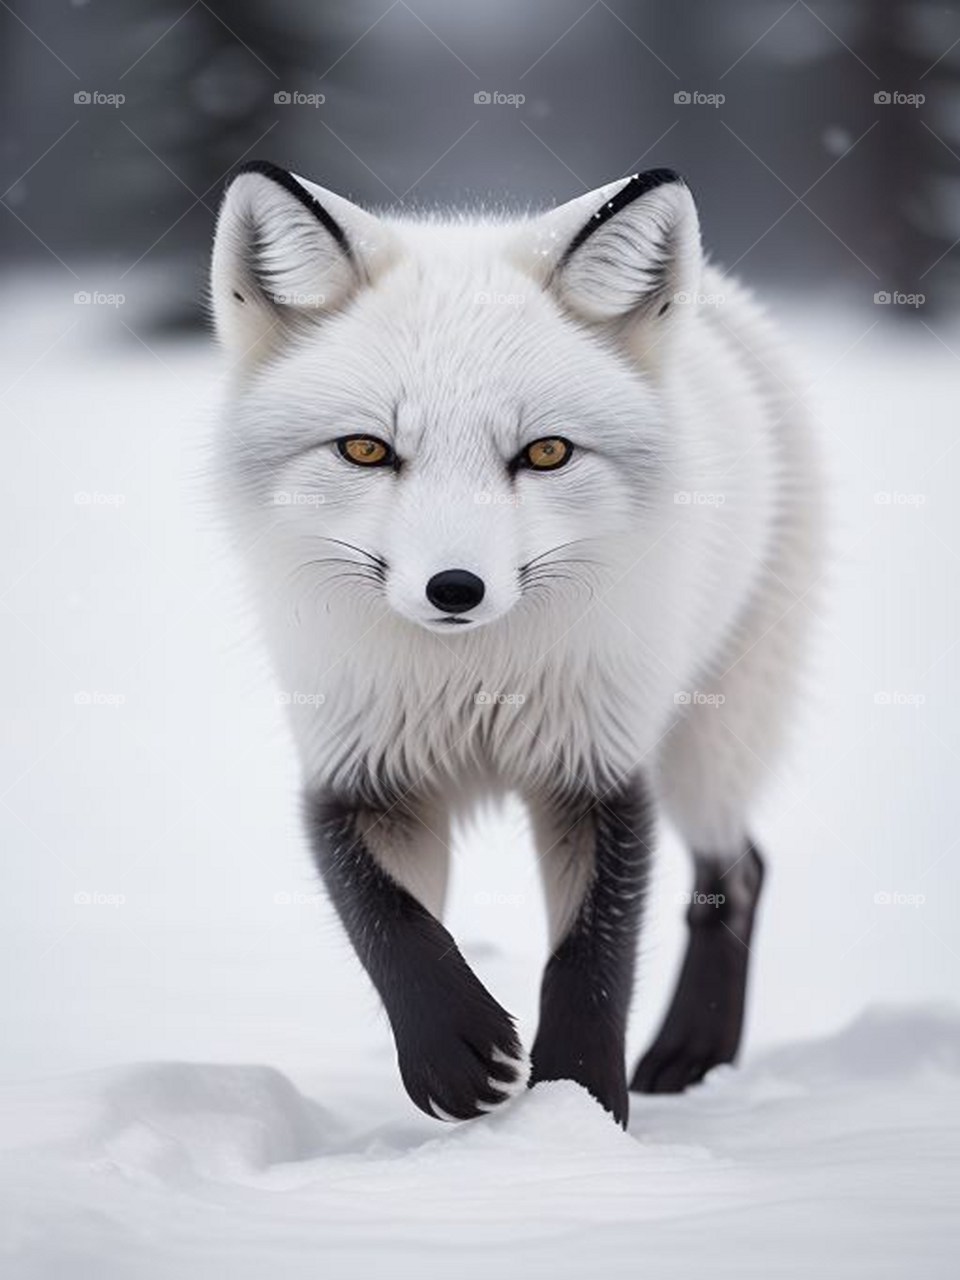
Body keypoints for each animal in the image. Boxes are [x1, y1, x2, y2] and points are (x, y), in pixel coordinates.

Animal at [210, 159, 822, 1127]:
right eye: (365, 450)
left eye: (545, 454)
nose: (454, 589)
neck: (475, 680)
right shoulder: (357, 764)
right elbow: (388, 920)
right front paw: (453, 1057)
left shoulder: (596, 762)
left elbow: (591, 957)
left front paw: (578, 1108)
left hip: (710, 738)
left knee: (740, 869)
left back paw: (694, 1049)